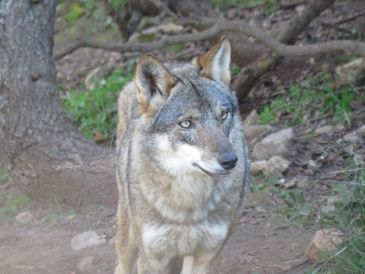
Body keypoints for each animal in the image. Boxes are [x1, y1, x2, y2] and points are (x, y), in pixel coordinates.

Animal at [114, 38, 250, 274]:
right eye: (186, 123)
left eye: (223, 115)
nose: (230, 161)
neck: (188, 207)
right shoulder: (152, 259)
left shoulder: (204, 257)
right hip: (127, 237)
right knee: (120, 264)